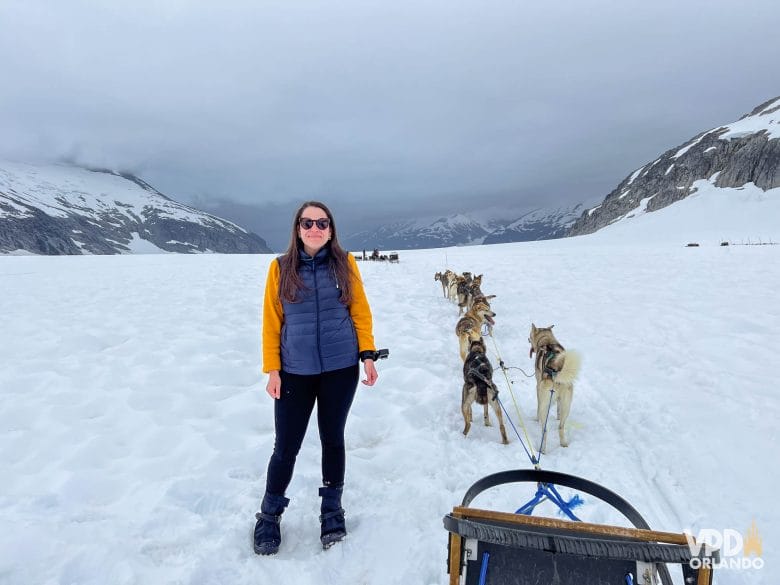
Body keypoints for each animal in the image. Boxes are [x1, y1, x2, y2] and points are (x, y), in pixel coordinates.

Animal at [528, 324, 580, 452]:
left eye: (530, 335)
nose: (528, 339)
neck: (547, 341)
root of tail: (557, 371)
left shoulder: (538, 387)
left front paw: (536, 419)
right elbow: (558, 409)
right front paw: (557, 416)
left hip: (544, 405)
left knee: (545, 430)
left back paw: (542, 450)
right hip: (567, 406)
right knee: (561, 426)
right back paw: (563, 444)